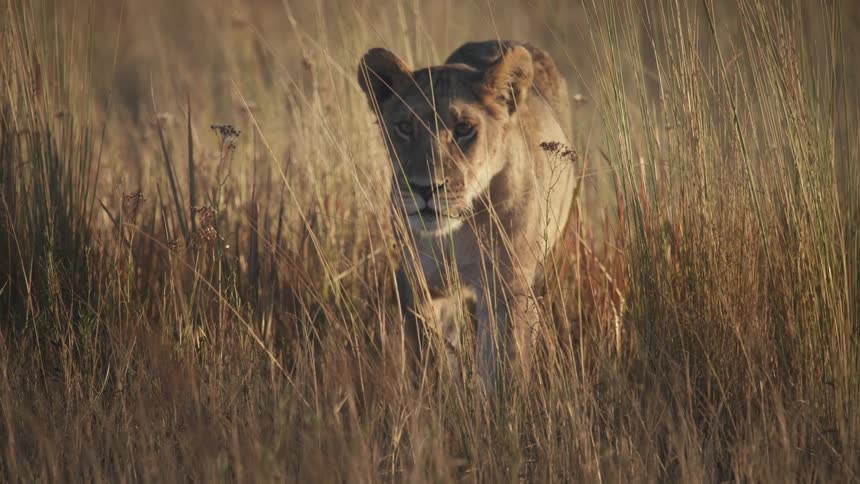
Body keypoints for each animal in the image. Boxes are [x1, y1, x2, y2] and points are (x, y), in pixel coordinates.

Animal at [358, 40, 575, 389]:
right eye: (404, 127)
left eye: (463, 129)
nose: (425, 188)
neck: (456, 233)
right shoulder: (419, 283)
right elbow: (433, 353)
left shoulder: (509, 289)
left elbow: (504, 366)